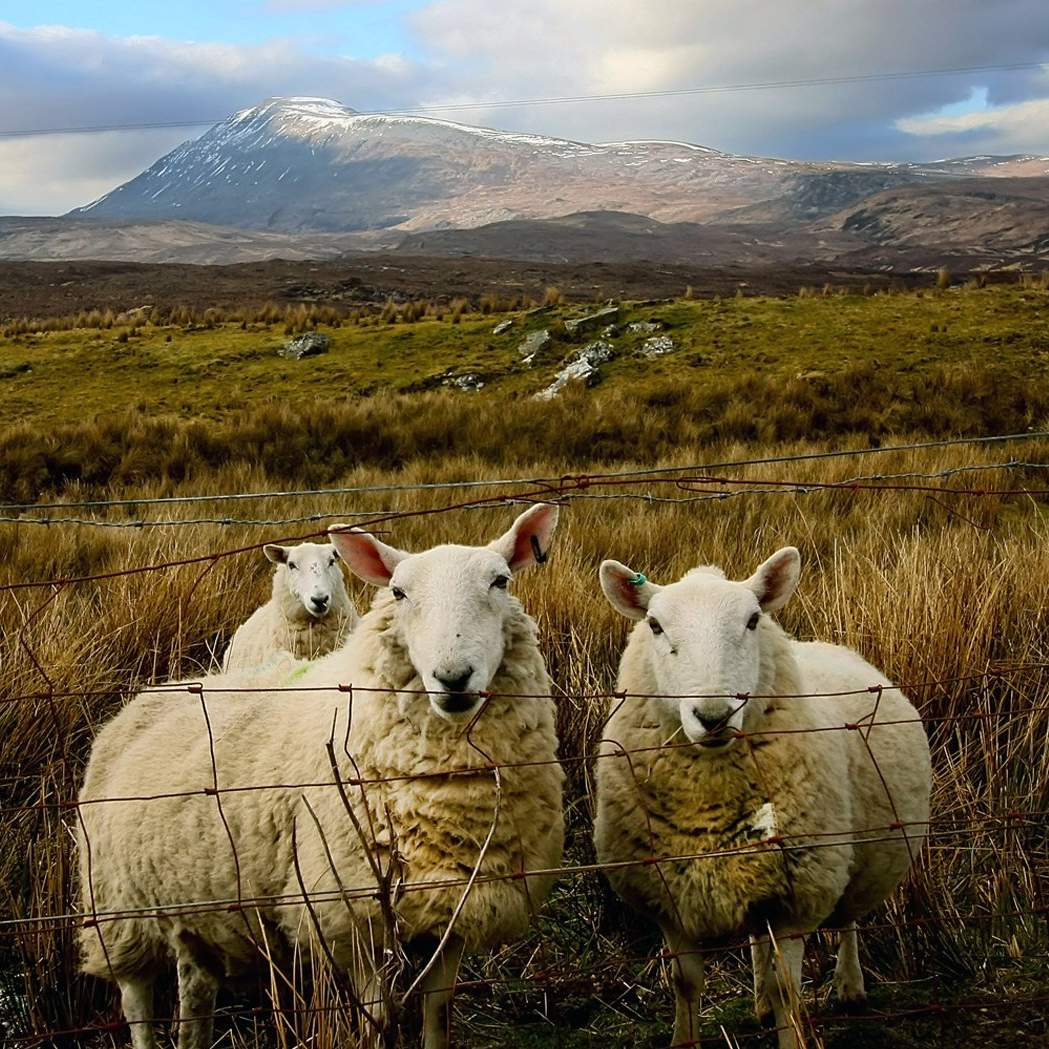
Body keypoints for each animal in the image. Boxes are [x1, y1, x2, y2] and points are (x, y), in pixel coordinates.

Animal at [595, 549, 931, 1049]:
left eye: (753, 620)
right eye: (655, 625)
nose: (714, 716)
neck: (709, 805)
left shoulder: (796, 898)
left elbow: (786, 988)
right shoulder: (670, 901)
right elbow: (685, 983)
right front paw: (685, 1038)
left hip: (851, 862)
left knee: (848, 920)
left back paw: (849, 986)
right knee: (756, 939)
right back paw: (757, 1005)